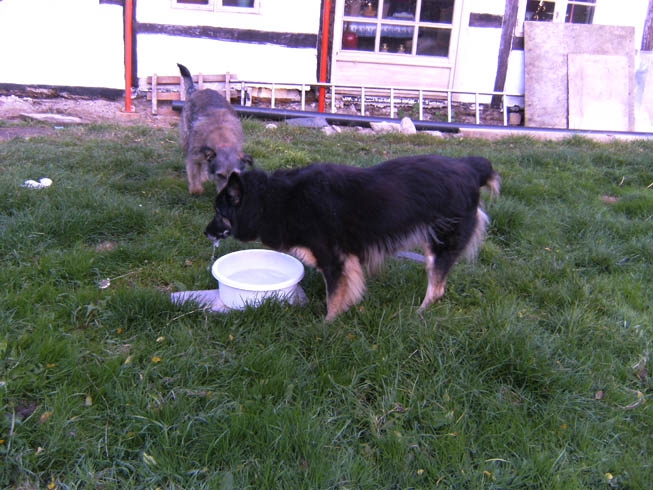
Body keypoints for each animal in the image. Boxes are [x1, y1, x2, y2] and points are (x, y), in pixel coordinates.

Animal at [177, 63, 252, 194]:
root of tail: (195, 90)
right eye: (220, 175)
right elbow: (194, 174)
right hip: (186, 137)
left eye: (235, 175)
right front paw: (196, 190)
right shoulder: (194, 157)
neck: (222, 138)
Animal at [205, 154, 501, 320]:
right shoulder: (347, 261)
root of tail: (471, 168)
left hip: (440, 244)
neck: (273, 200)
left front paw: (327, 327)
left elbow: (333, 297)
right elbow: (344, 292)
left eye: (219, 211)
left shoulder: (333, 260)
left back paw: (418, 315)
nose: (205, 232)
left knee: (437, 288)